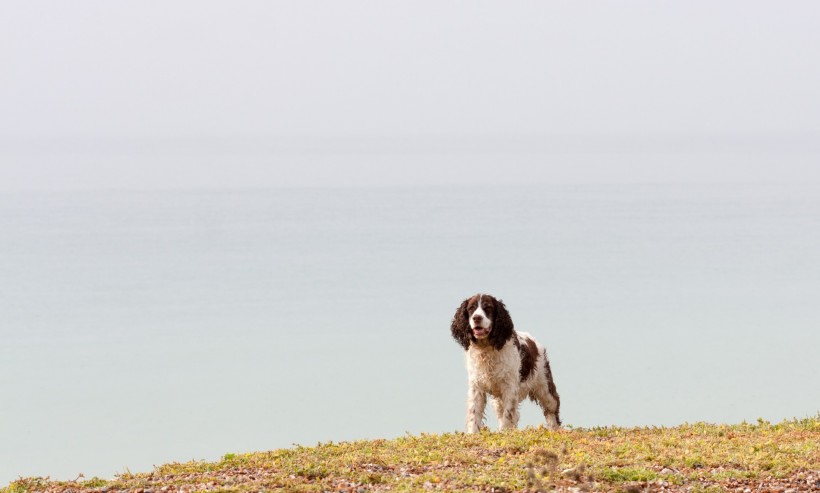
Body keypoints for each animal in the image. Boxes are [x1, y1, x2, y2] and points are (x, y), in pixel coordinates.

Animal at [452, 292, 560, 430]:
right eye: (471, 308)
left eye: (488, 307)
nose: (476, 318)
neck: (486, 348)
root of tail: (534, 340)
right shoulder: (477, 386)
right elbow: (474, 414)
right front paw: (472, 433)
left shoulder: (510, 387)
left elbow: (508, 416)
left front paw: (504, 432)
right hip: (497, 400)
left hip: (544, 386)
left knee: (552, 409)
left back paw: (554, 430)